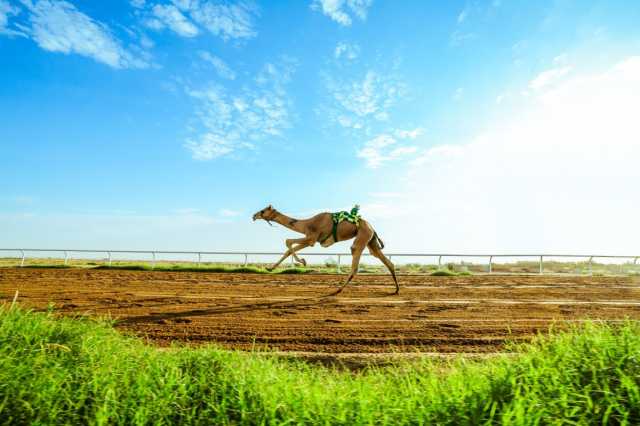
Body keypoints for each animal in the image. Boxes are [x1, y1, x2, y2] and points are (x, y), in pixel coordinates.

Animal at [251, 206, 398, 292]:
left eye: (263, 210)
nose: (254, 215)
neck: (307, 224)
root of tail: (372, 228)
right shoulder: (311, 239)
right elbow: (289, 248)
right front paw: (270, 268)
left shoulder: (311, 238)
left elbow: (288, 242)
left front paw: (303, 262)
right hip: (371, 241)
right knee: (385, 260)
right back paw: (396, 290)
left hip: (363, 236)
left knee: (355, 259)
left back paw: (337, 290)